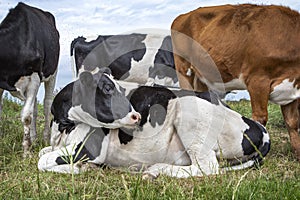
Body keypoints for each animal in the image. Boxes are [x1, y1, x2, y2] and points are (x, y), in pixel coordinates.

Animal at [0, 2, 59, 156]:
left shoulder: (34, 78)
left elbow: (26, 115)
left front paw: (26, 151)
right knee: (35, 106)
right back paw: (34, 137)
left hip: (52, 73)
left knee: (46, 104)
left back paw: (45, 137)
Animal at [37, 70, 270, 178]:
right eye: (107, 88)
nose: (136, 116)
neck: (63, 126)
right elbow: (42, 152)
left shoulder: (90, 148)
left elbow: (41, 161)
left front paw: (78, 167)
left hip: (190, 118)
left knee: (207, 167)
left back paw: (155, 169)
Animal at [171, 3, 300, 160]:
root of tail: (182, 16)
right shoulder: (258, 80)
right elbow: (260, 118)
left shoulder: (291, 88)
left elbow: (292, 122)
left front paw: (297, 154)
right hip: (183, 69)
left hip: (201, 77)